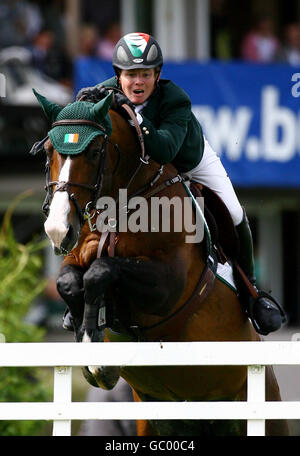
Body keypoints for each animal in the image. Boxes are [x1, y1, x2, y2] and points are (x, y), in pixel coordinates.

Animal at [31, 88, 288, 434]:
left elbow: (101, 271)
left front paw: (97, 357)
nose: (58, 228)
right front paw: (89, 341)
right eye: (48, 151)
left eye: (95, 152)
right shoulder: (76, 254)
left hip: (262, 409)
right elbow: (69, 281)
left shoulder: (167, 285)